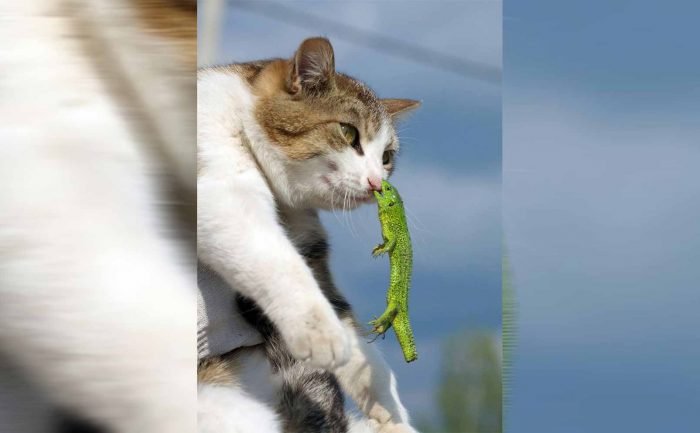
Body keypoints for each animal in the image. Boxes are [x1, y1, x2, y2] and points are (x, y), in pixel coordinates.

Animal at [194, 38, 418, 432]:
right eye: (349, 133)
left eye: (387, 156)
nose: (377, 182)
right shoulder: (221, 188)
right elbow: (275, 259)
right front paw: (322, 333)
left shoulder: (309, 245)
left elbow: (365, 354)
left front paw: (392, 416)